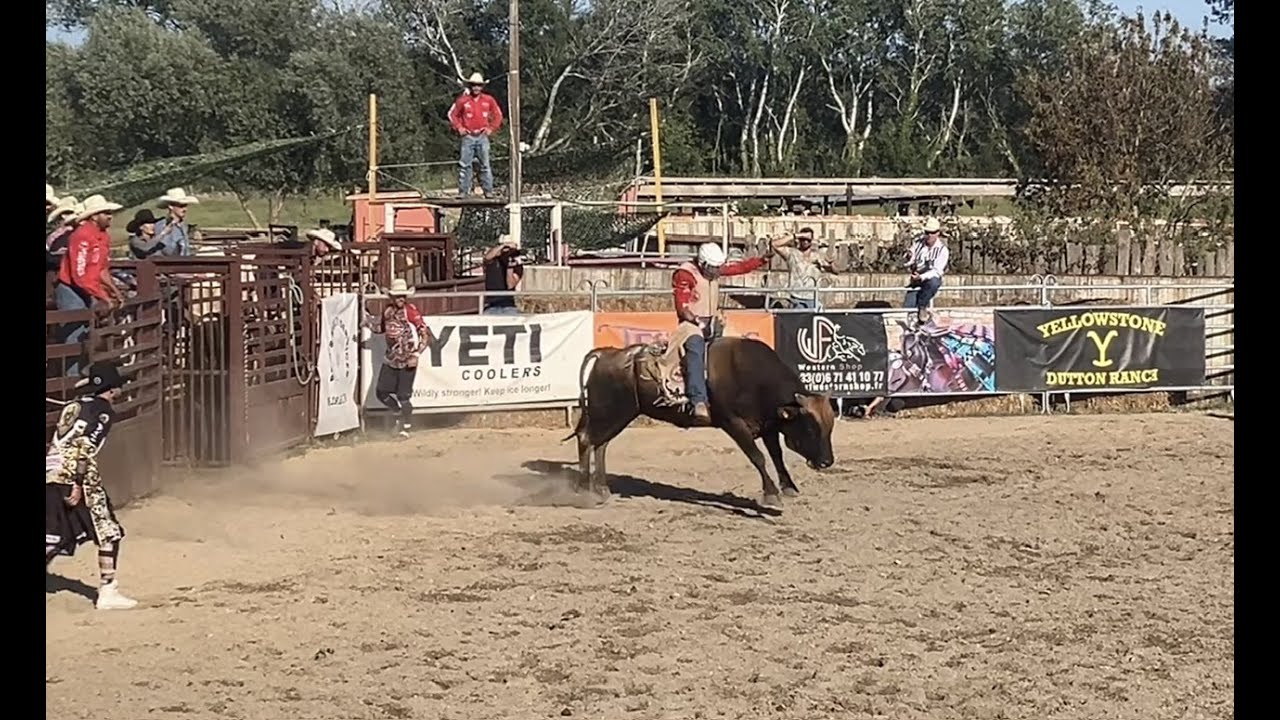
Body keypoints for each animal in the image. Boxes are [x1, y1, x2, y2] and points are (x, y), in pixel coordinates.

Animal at [563, 335, 837, 509]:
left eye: (829, 426)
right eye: (810, 427)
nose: (827, 462)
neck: (755, 377)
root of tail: (606, 353)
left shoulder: (768, 425)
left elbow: (777, 455)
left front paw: (789, 487)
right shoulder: (733, 424)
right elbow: (757, 457)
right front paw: (771, 494)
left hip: (615, 415)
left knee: (600, 444)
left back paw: (601, 488)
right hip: (610, 412)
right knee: (587, 439)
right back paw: (584, 490)